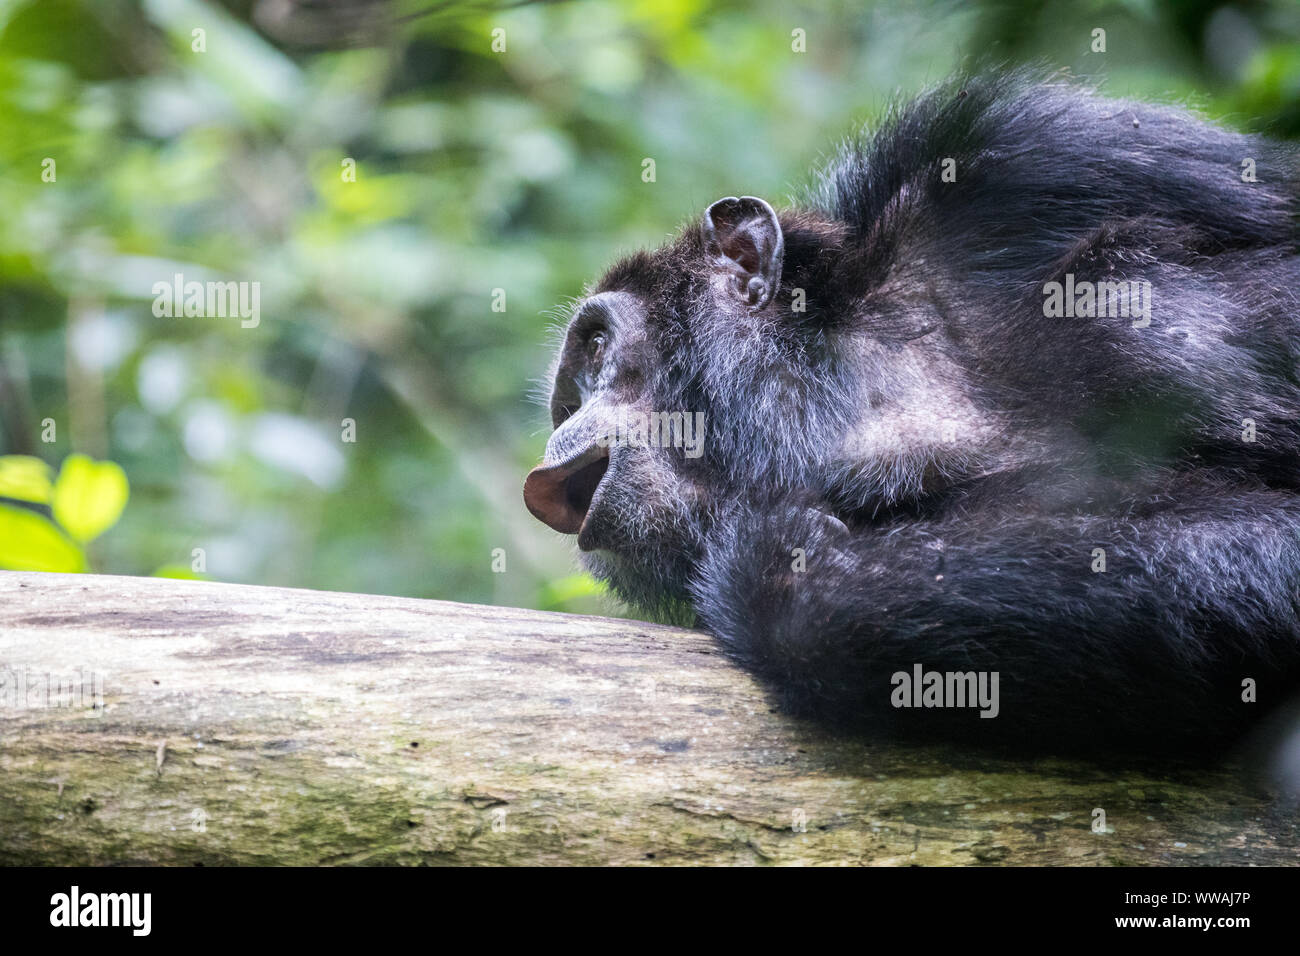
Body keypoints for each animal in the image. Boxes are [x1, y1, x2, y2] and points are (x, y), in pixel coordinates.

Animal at [525, 70, 1300, 759]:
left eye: (597, 345)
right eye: (569, 397)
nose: (566, 419)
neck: (856, 403)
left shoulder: (1046, 151)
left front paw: (780, 569)